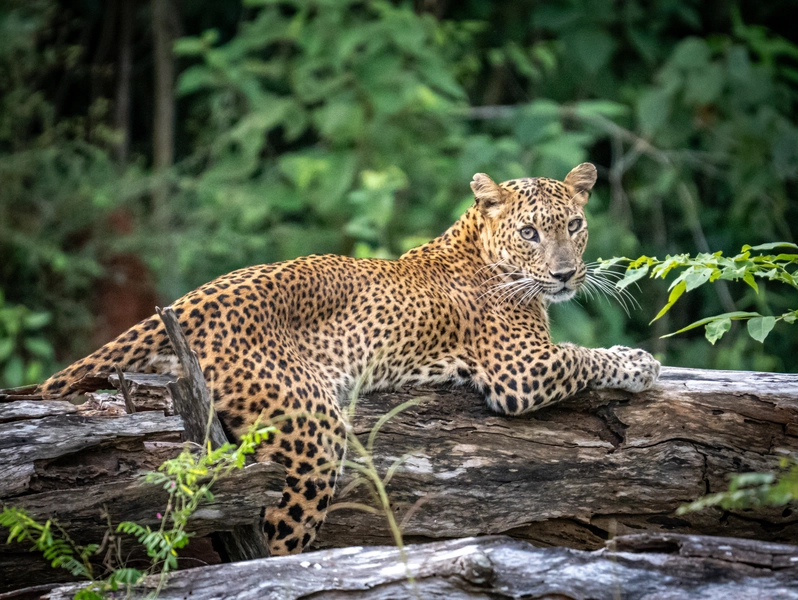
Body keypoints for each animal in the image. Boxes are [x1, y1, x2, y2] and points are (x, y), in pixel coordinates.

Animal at [37, 162, 661, 556]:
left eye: (574, 225)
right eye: (530, 233)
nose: (565, 274)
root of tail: (191, 300)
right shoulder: (521, 369)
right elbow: (583, 357)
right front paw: (639, 362)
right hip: (313, 431)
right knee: (278, 533)